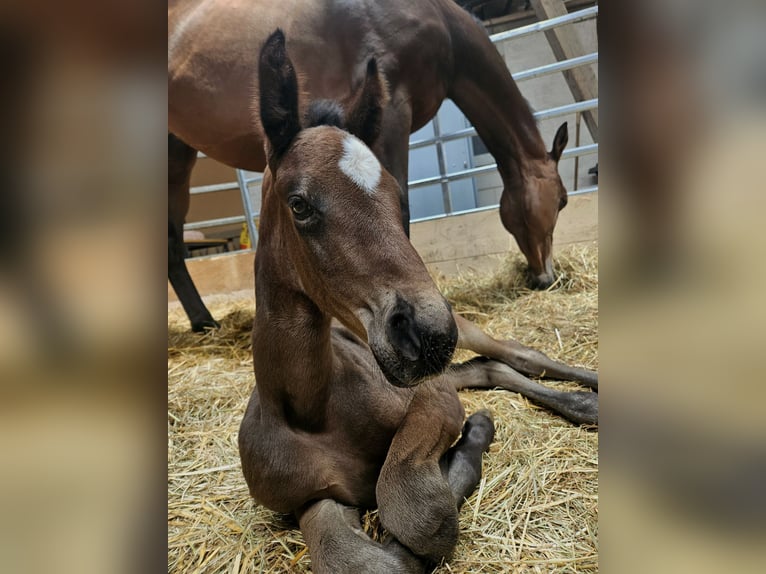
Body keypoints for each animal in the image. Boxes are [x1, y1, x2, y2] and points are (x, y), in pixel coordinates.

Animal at [240, 32, 600, 574]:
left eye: (396, 194)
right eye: (299, 204)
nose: (428, 334)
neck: (309, 412)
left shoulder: (430, 400)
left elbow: (415, 509)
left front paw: (472, 438)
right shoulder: (309, 497)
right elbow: (359, 557)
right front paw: (471, 436)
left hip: (465, 332)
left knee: (519, 354)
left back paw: (588, 394)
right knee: (487, 369)